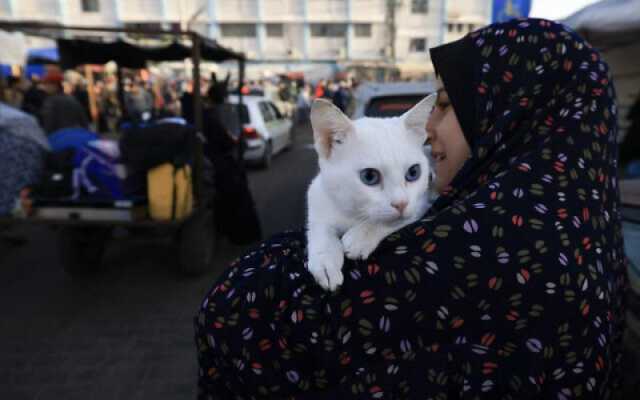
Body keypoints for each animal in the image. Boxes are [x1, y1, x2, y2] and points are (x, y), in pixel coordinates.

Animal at [306, 95, 436, 292]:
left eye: (413, 172)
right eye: (369, 176)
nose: (401, 203)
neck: (353, 211)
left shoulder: (420, 203)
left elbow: (391, 220)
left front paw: (360, 237)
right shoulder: (318, 198)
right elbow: (320, 229)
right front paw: (325, 261)